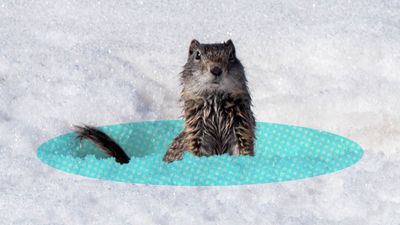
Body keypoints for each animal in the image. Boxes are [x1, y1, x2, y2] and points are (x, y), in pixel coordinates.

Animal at [75, 39, 256, 163]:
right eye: (197, 55)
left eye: (231, 55)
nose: (216, 70)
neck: (215, 101)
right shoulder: (196, 132)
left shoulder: (242, 127)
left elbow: (244, 148)